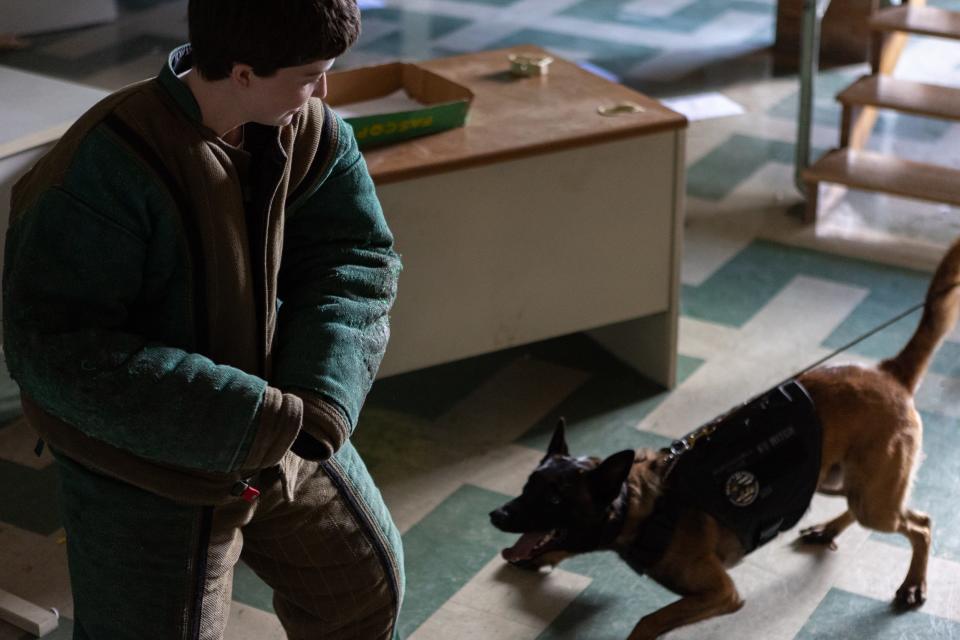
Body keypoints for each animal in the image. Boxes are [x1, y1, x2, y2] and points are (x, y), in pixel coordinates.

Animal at [488, 238, 960, 636]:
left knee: (920, 524)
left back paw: (913, 583)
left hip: (872, 500)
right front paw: (541, 557)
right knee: (865, 507)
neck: (644, 504)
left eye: (554, 499)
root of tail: (889, 372)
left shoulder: (721, 592)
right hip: (833, 478)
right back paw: (828, 529)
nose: (496, 515)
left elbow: (647, 621)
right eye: (527, 487)